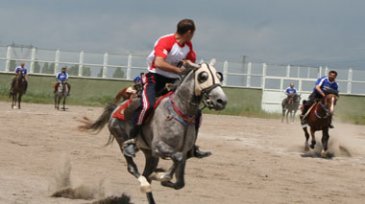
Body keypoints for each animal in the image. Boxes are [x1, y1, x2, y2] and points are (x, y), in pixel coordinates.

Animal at [79, 61, 226, 204]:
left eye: (219, 76)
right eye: (203, 76)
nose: (221, 101)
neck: (177, 110)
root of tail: (115, 109)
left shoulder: (181, 151)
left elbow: (180, 179)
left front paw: (164, 178)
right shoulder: (159, 147)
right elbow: (177, 160)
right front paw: (161, 175)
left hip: (150, 154)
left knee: (146, 174)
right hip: (122, 141)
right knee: (133, 169)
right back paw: (144, 183)